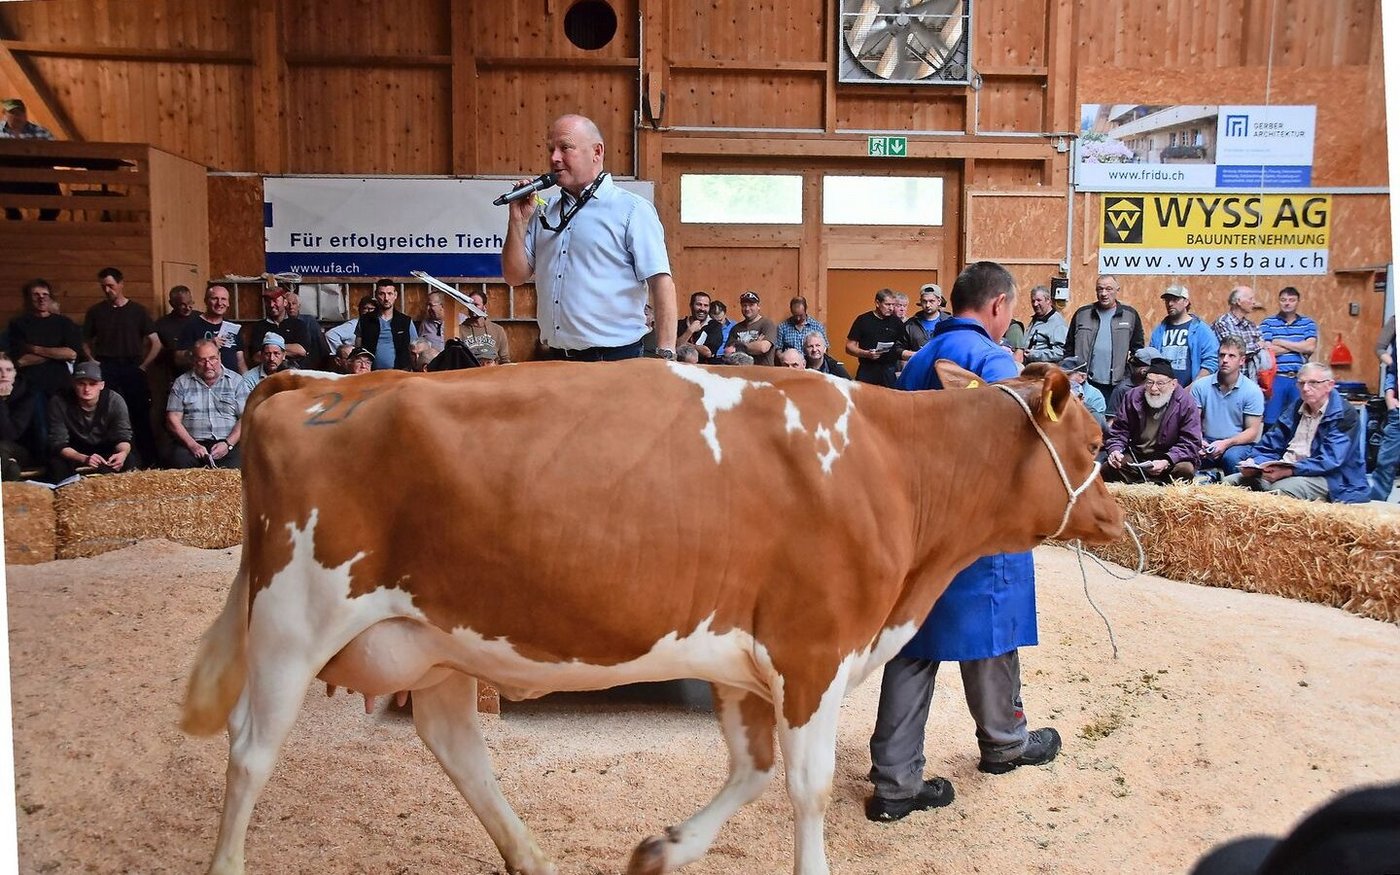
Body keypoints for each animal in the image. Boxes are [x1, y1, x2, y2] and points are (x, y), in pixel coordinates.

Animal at [182, 358, 1123, 875]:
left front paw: (661, 847)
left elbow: (751, 768)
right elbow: (807, 785)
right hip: (294, 616)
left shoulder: (749, 658)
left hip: (437, 638)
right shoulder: (815, 646)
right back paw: (226, 861)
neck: (893, 465)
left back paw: (533, 856)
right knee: (250, 750)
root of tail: (320, 382)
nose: (1117, 515)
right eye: (1095, 440)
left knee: (457, 747)